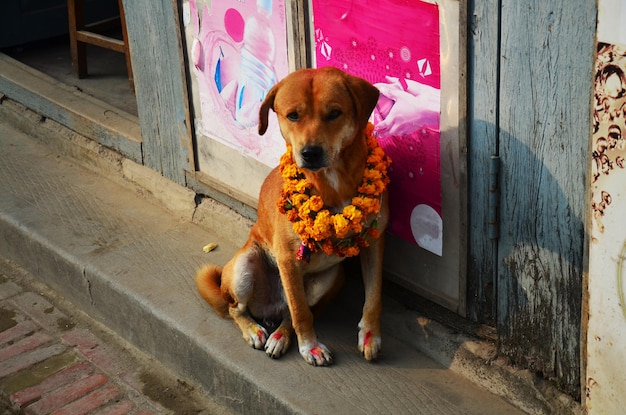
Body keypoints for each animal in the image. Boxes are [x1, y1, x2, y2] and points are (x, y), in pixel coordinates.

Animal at [197, 67, 388, 368]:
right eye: (293, 115)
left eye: (334, 113)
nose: (310, 153)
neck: (333, 181)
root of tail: (268, 308)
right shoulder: (287, 258)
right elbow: (300, 312)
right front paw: (309, 346)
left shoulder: (375, 243)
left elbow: (374, 297)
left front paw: (370, 336)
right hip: (244, 267)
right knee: (238, 308)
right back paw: (254, 330)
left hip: (328, 279)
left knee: (288, 313)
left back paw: (280, 335)